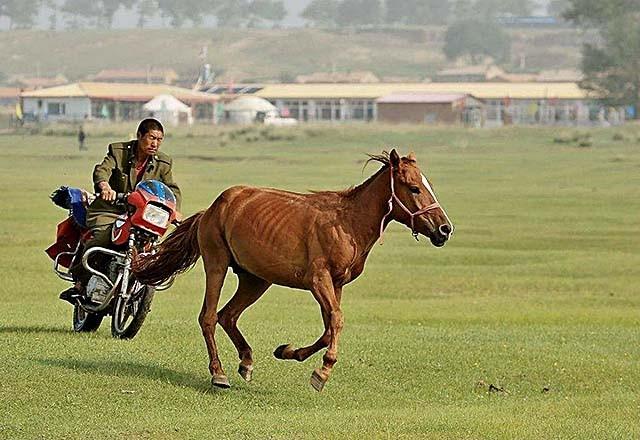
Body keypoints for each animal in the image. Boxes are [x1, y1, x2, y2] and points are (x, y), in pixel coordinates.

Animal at [134, 150, 452, 390]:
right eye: (414, 188)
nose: (445, 229)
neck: (347, 223)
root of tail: (212, 209)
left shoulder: (336, 284)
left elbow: (328, 328)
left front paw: (288, 351)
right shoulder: (319, 280)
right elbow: (336, 321)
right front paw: (322, 373)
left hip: (256, 279)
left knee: (228, 315)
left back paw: (246, 361)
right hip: (217, 264)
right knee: (209, 317)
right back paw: (218, 373)